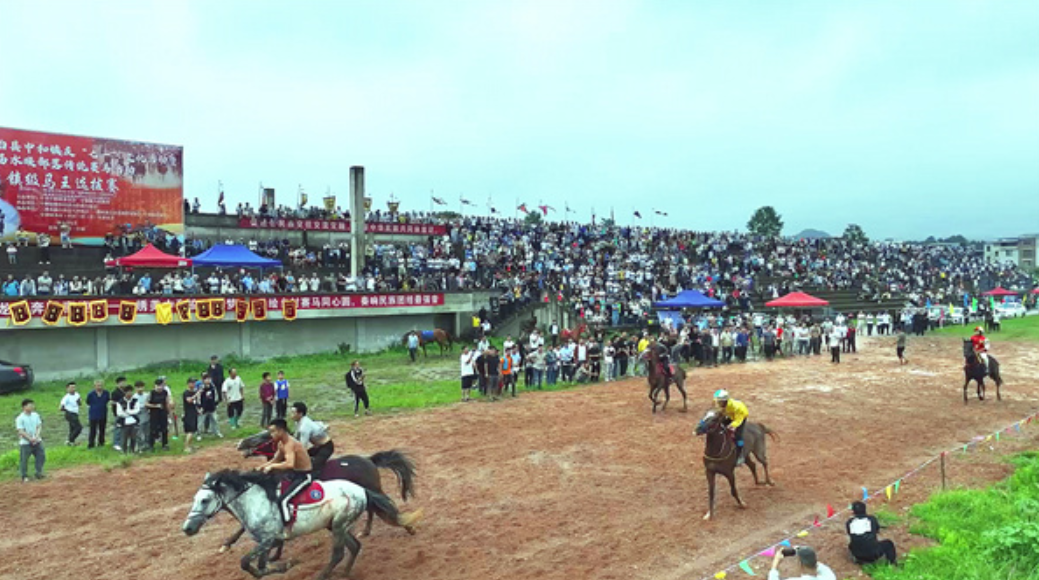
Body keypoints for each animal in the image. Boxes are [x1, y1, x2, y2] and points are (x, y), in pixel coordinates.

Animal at [184, 469, 415, 577]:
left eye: (205, 500)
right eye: (195, 499)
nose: (187, 528)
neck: (255, 501)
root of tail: (361, 490)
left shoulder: (268, 540)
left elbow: (246, 563)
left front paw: (288, 564)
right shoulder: (265, 543)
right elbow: (259, 568)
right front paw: (283, 565)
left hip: (339, 525)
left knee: (339, 554)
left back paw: (322, 576)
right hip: (335, 526)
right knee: (354, 547)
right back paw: (345, 574)